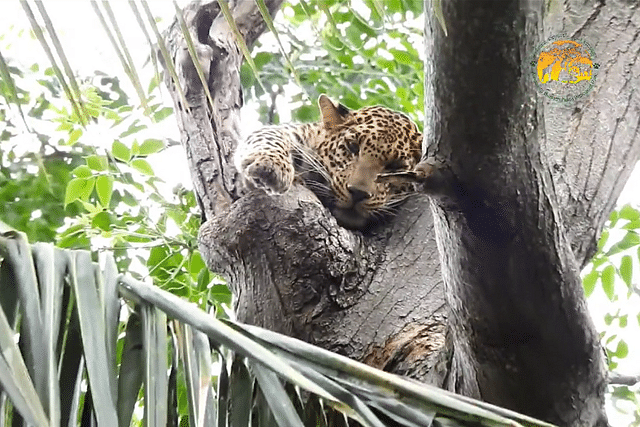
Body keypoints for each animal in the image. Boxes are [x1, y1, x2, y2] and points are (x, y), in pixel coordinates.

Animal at [235, 95, 424, 232]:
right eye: (352, 147)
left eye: (396, 166)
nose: (358, 193)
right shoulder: (296, 133)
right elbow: (269, 136)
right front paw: (271, 168)